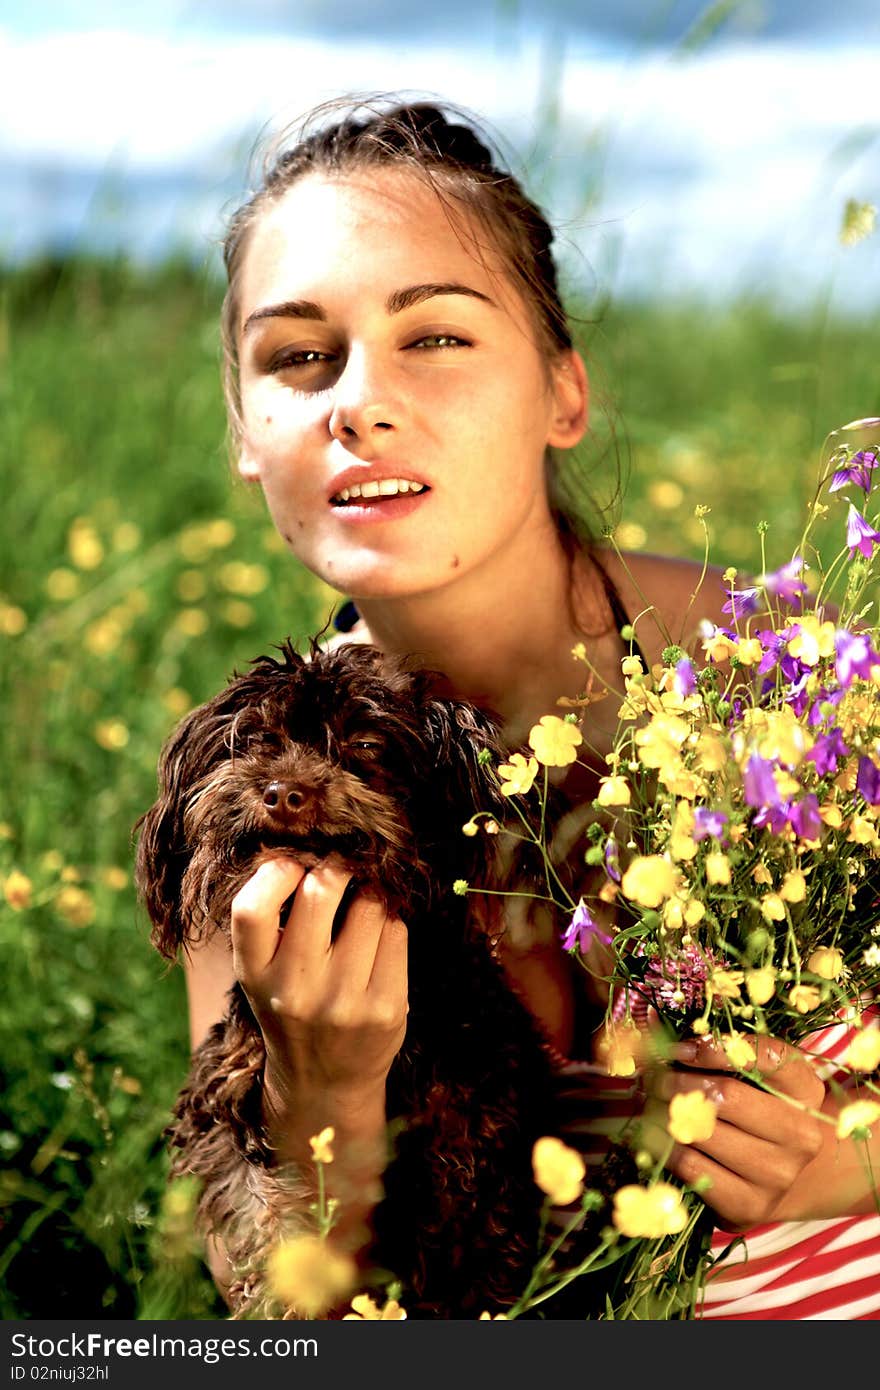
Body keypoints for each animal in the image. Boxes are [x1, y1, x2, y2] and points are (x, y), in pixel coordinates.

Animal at [136, 636, 561, 1312]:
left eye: (364, 745)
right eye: (255, 741)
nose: (283, 792)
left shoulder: (474, 1143)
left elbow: (465, 1253)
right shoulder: (227, 1103)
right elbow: (263, 1210)